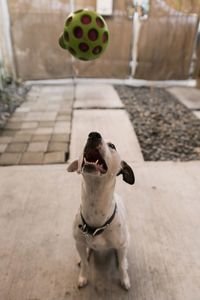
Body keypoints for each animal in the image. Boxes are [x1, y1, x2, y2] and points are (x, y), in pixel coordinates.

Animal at [67, 132, 134, 290]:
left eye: (112, 146)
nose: (93, 134)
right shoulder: (79, 243)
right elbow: (85, 264)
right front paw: (83, 276)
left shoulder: (122, 245)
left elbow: (121, 267)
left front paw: (125, 279)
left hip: (127, 240)